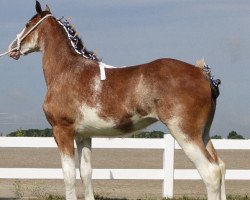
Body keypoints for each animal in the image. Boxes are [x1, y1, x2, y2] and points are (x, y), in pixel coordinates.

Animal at [8, 1, 227, 200]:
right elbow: (86, 173)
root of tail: (203, 74)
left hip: (185, 133)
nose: (11, 49)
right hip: (203, 134)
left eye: (28, 24)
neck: (67, 71)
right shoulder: (83, 135)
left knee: (210, 172)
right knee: (221, 166)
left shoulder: (62, 131)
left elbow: (69, 175)